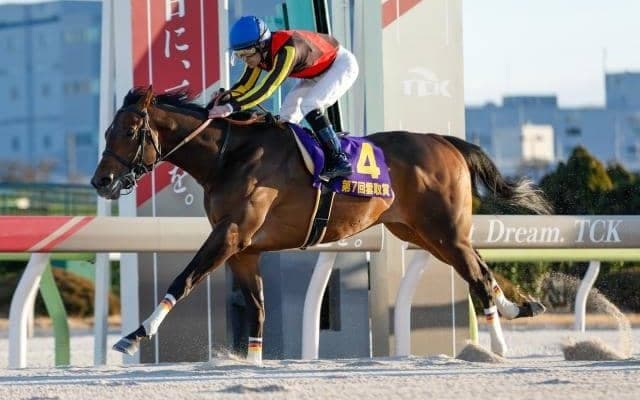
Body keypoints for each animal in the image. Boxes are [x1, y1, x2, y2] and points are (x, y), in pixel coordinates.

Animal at [91, 86, 551, 363]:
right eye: (107, 129)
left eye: (129, 130)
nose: (102, 181)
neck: (230, 156)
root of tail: (446, 141)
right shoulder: (245, 247)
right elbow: (257, 308)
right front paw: (253, 361)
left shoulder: (231, 234)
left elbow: (184, 279)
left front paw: (135, 335)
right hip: (420, 232)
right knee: (480, 267)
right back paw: (518, 307)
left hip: (443, 230)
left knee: (476, 274)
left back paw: (498, 345)